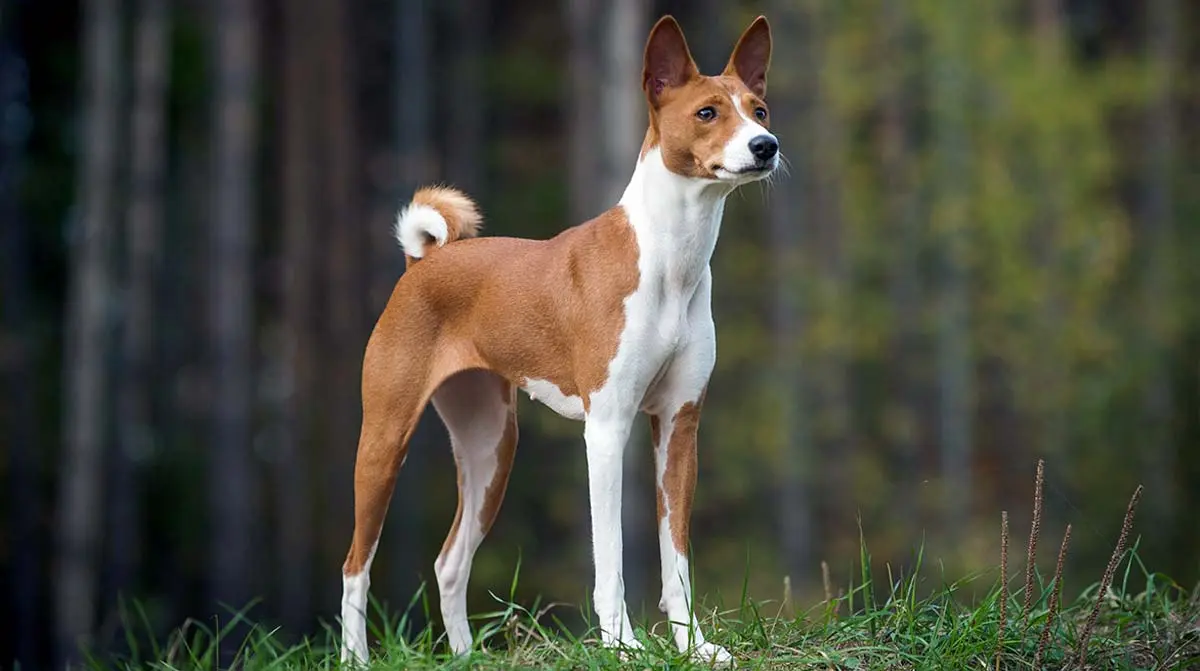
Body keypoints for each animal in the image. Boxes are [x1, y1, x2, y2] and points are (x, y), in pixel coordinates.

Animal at [340, 14, 777, 667]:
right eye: (707, 113)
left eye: (760, 109)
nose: (765, 146)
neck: (672, 262)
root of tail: (426, 260)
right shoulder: (607, 429)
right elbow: (611, 558)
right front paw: (622, 645)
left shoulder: (679, 426)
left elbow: (676, 557)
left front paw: (694, 645)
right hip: (384, 442)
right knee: (355, 566)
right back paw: (355, 656)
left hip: (491, 450)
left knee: (449, 562)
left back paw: (467, 656)